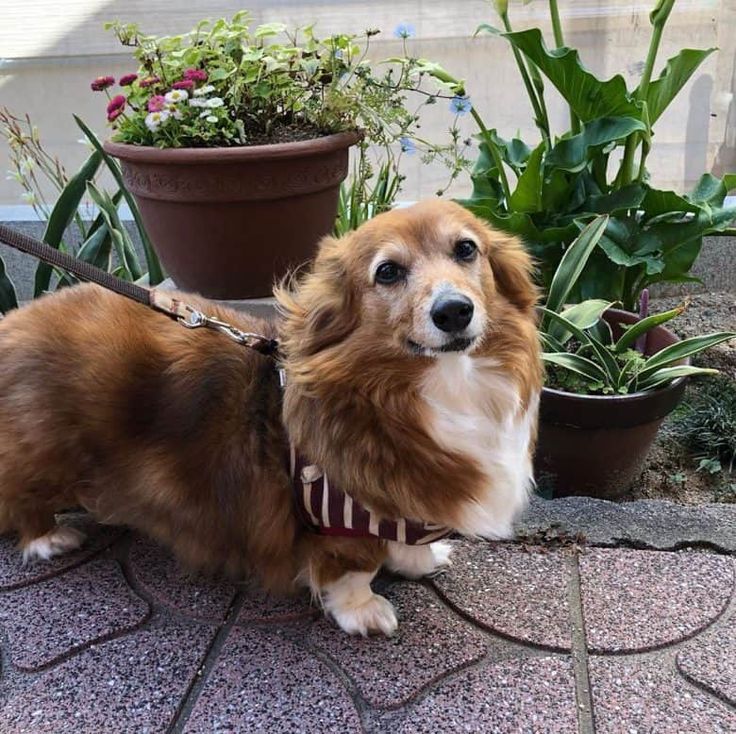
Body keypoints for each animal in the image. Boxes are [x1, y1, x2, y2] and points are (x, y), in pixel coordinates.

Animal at [0, 201, 540, 640]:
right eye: (387, 272)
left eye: (466, 249)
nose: (454, 311)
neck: (441, 385)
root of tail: (12, 322)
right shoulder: (340, 512)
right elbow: (355, 568)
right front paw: (363, 611)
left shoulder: (400, 501)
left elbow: (403, 540)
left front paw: (420, 560)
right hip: (45, 454)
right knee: (23, 496)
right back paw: (49, 537)